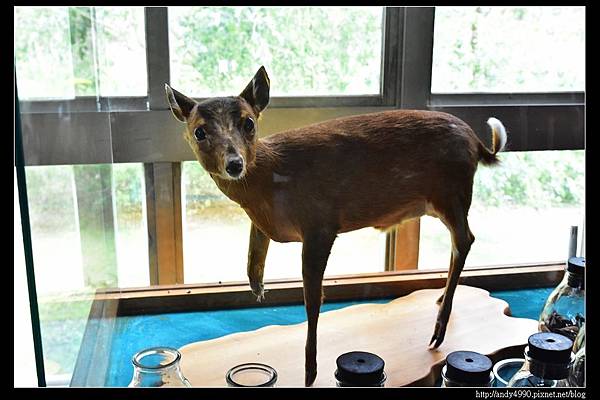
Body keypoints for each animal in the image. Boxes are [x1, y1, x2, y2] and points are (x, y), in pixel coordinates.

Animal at [164, 66, 506, 388]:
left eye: (249, 123)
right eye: (199, 131)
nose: (234, 164)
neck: (269, 182)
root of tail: (478, 143)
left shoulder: (320, 222)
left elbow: (313, 299)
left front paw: (310, 371)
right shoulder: (262, 225)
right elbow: (253, 256)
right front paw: (258, 288)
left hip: (451, 192)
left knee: (465, 239)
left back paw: (438, 330)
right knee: (458, 242)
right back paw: (439, 298)